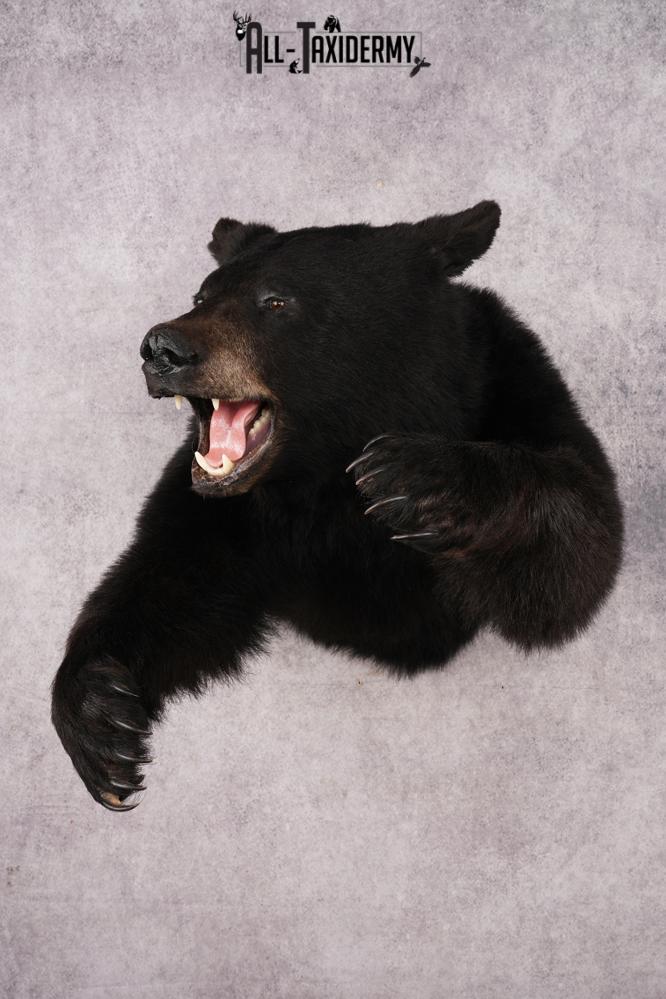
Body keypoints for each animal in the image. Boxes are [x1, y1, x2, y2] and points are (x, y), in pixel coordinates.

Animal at [51, 201, 624, 810]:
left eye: (276, 301)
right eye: (201, 295)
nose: (164, 349)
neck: (325, 477)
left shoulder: (513, 387)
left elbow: (578, 549)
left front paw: (416, 476)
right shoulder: (230, 515)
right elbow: (171, 583)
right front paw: (100, 719)